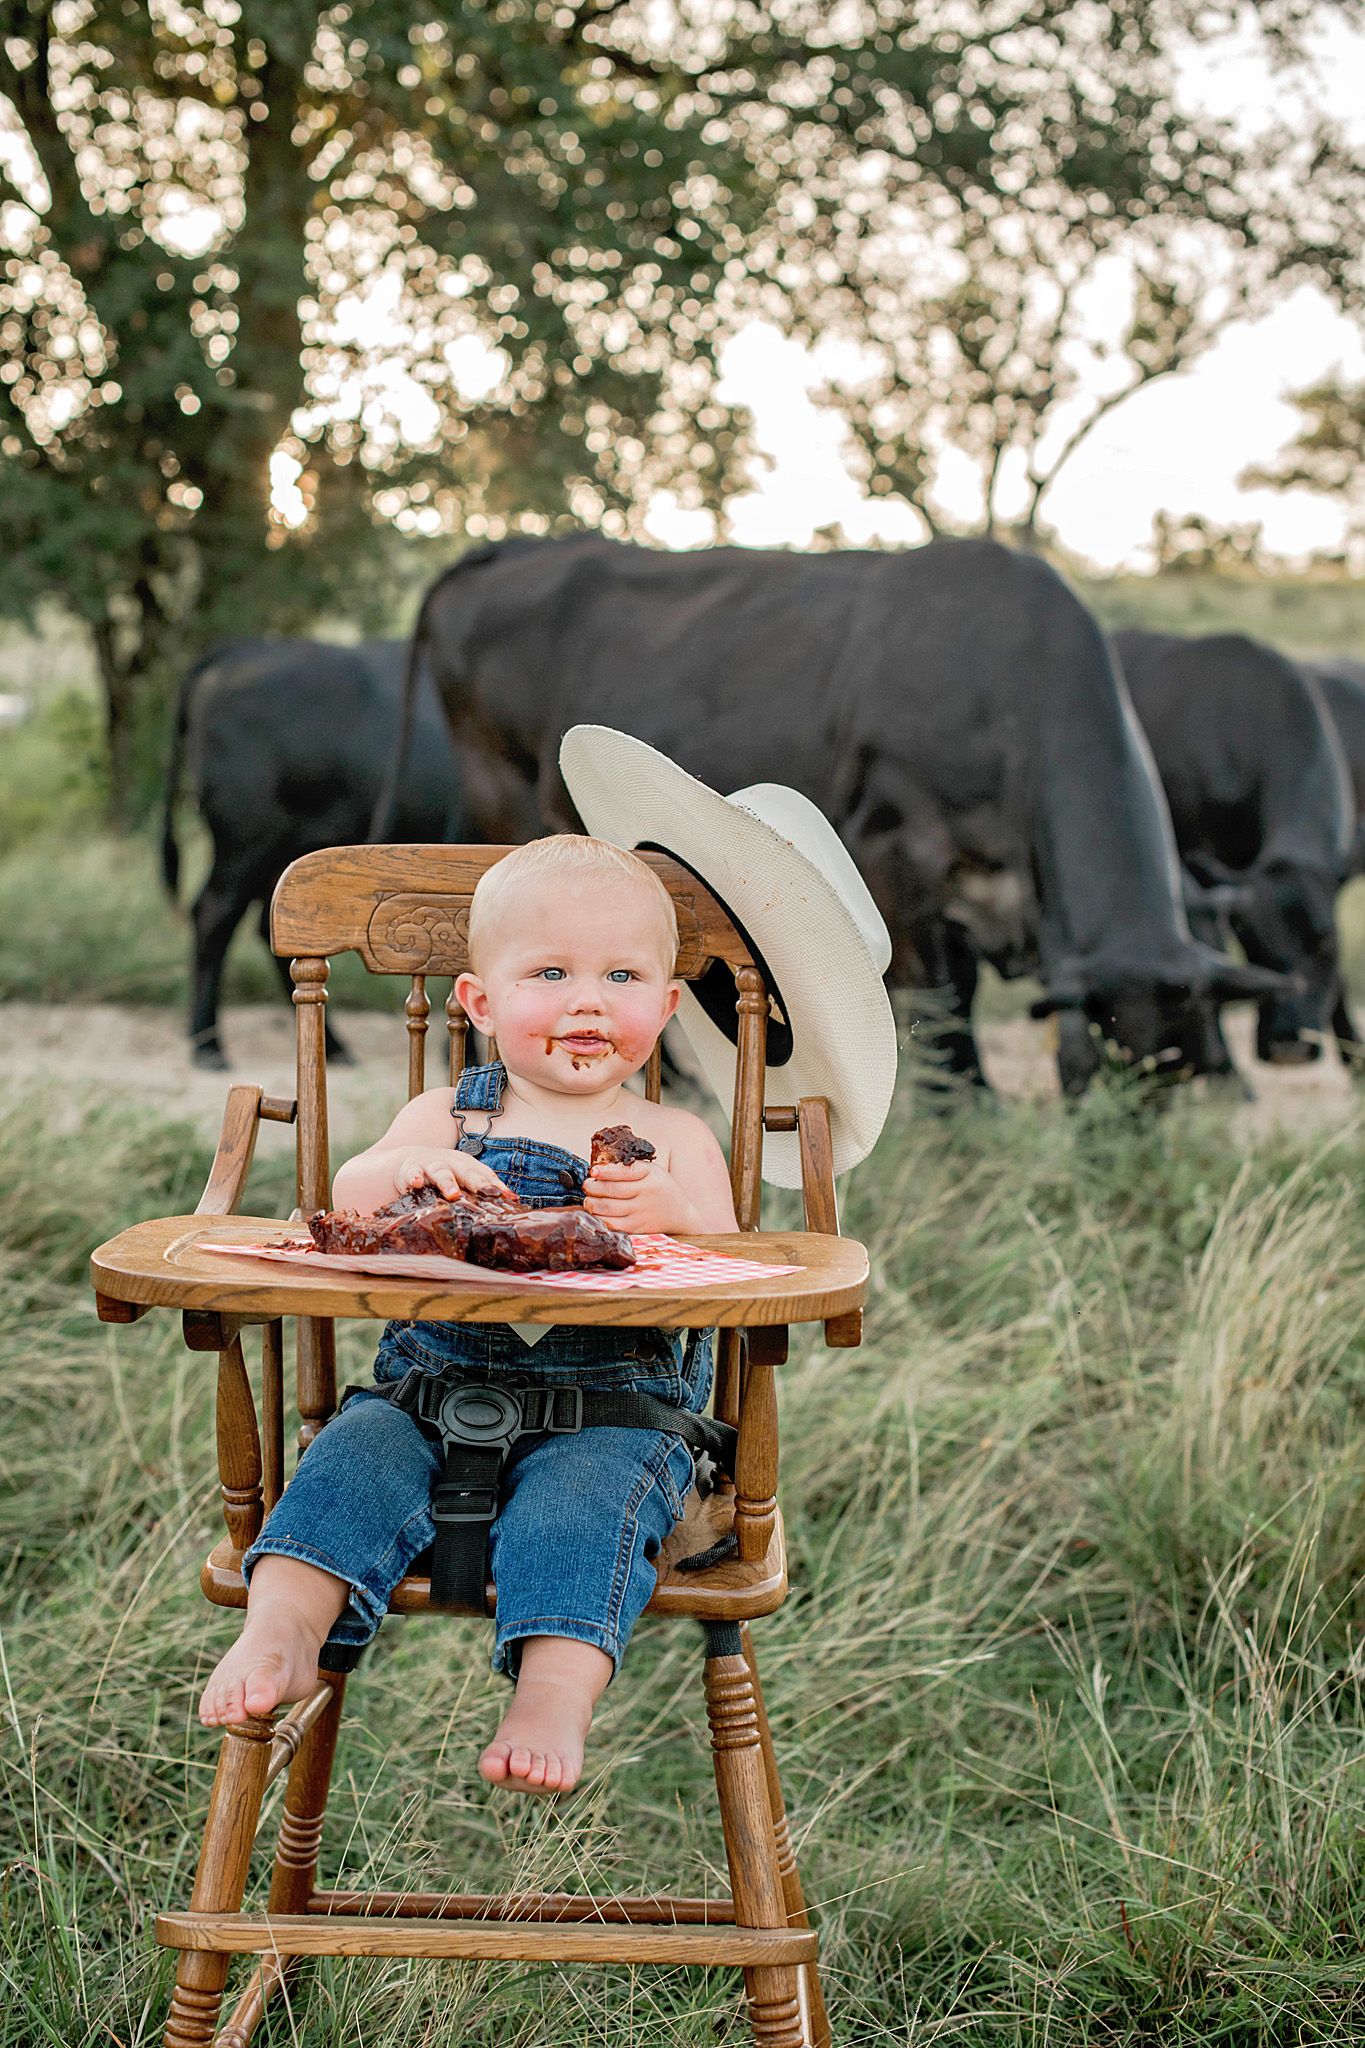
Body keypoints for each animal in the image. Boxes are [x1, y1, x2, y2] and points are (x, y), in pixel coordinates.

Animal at [162, 637, 467, 1068]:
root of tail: (237, 652)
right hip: (247, 843)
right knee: (214, 917)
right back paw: (208, 1045)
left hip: (287, 854)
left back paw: (333, 1045)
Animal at [375, 534, 1280, 1097]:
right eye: (1100, 1066)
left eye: (1183, 1070)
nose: (1118, 1149)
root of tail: (516, 546)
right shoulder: (898, 857)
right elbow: (943, 1008)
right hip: (503, 802)